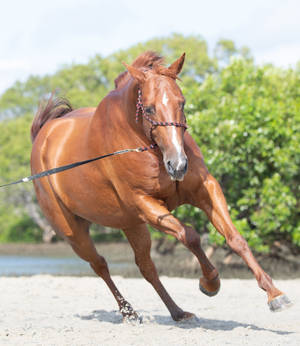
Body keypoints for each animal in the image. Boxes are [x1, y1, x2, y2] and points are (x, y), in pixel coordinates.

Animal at [30, 51, 290, 322]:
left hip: (131, 224)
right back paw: (129, 312)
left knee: (146, 267)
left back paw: (177, 312)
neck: (146, 145)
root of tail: (43, 135)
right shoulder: (146, 205)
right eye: (149, 108)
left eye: (182, 103)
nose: (178, 165)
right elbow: (190, 236)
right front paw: (210, 283)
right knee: (100, 264)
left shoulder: (205, 189)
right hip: (74, 232)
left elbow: (235, 238)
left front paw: (274, 294)